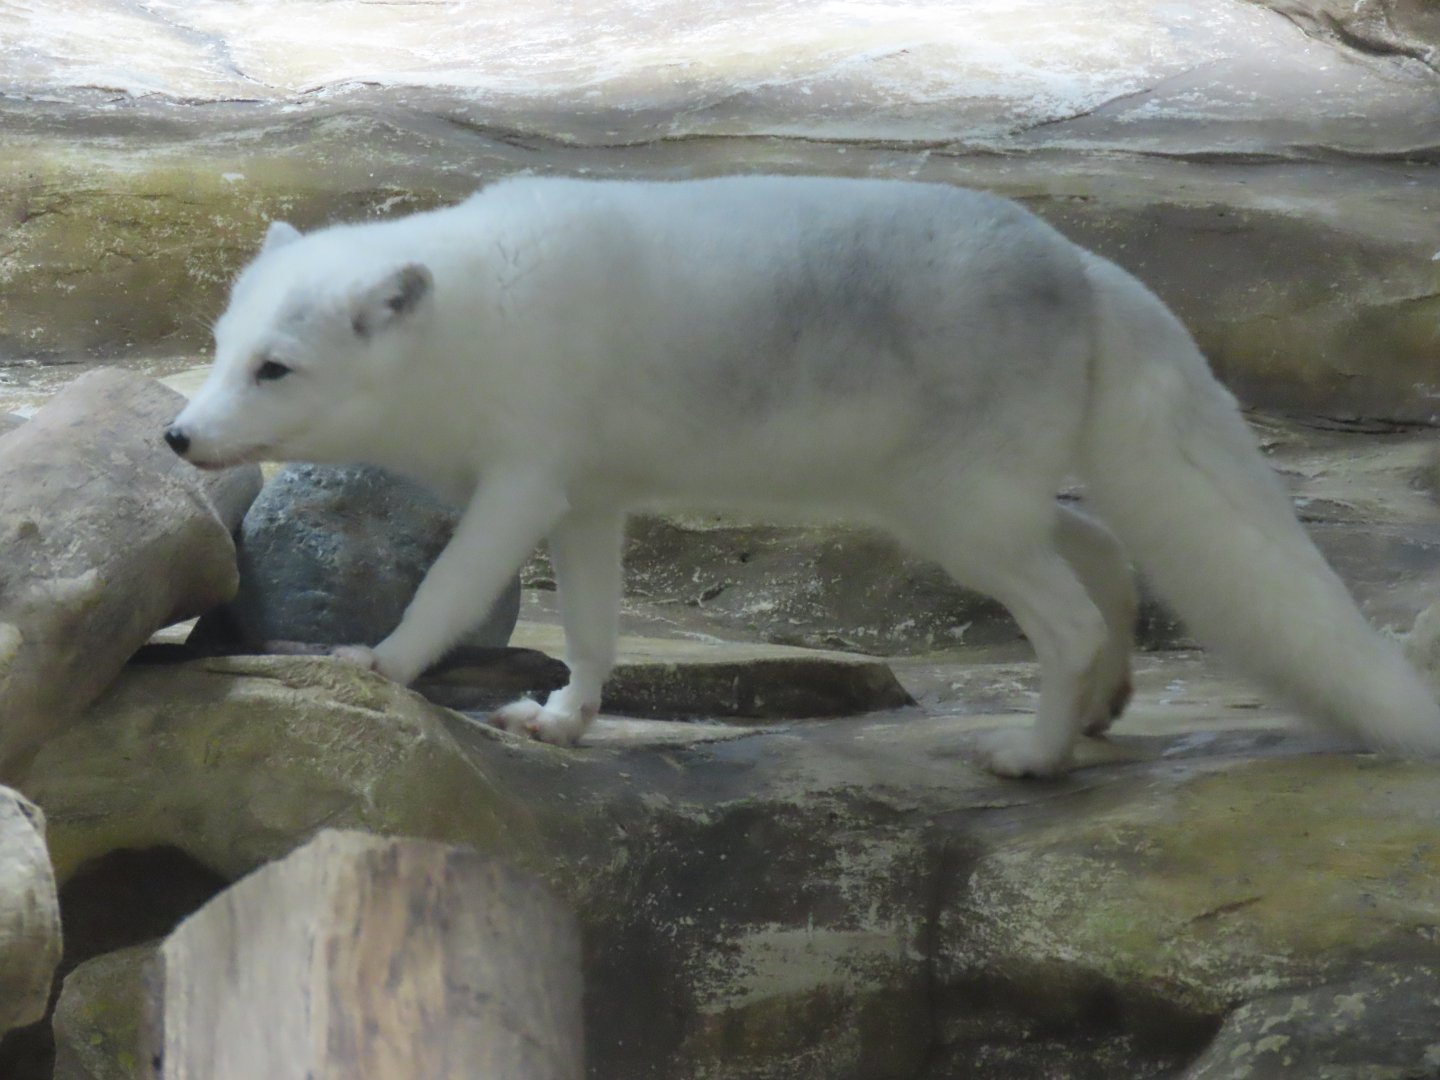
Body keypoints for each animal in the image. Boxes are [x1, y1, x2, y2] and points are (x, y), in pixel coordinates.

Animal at [165, 174, 1440, 777]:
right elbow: (594, 631)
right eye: (221, 349)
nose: (179, 437)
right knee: (1105, 550)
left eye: (275, 369)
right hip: (967, 510)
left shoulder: (522, 484)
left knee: (1072, 611)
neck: (479, 319)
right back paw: (1100, 707)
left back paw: (1037, 754)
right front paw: (568, 720)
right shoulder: (588, 499)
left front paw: (375, 665)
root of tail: (1082, 264)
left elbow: (443, 594)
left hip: (962, 520)